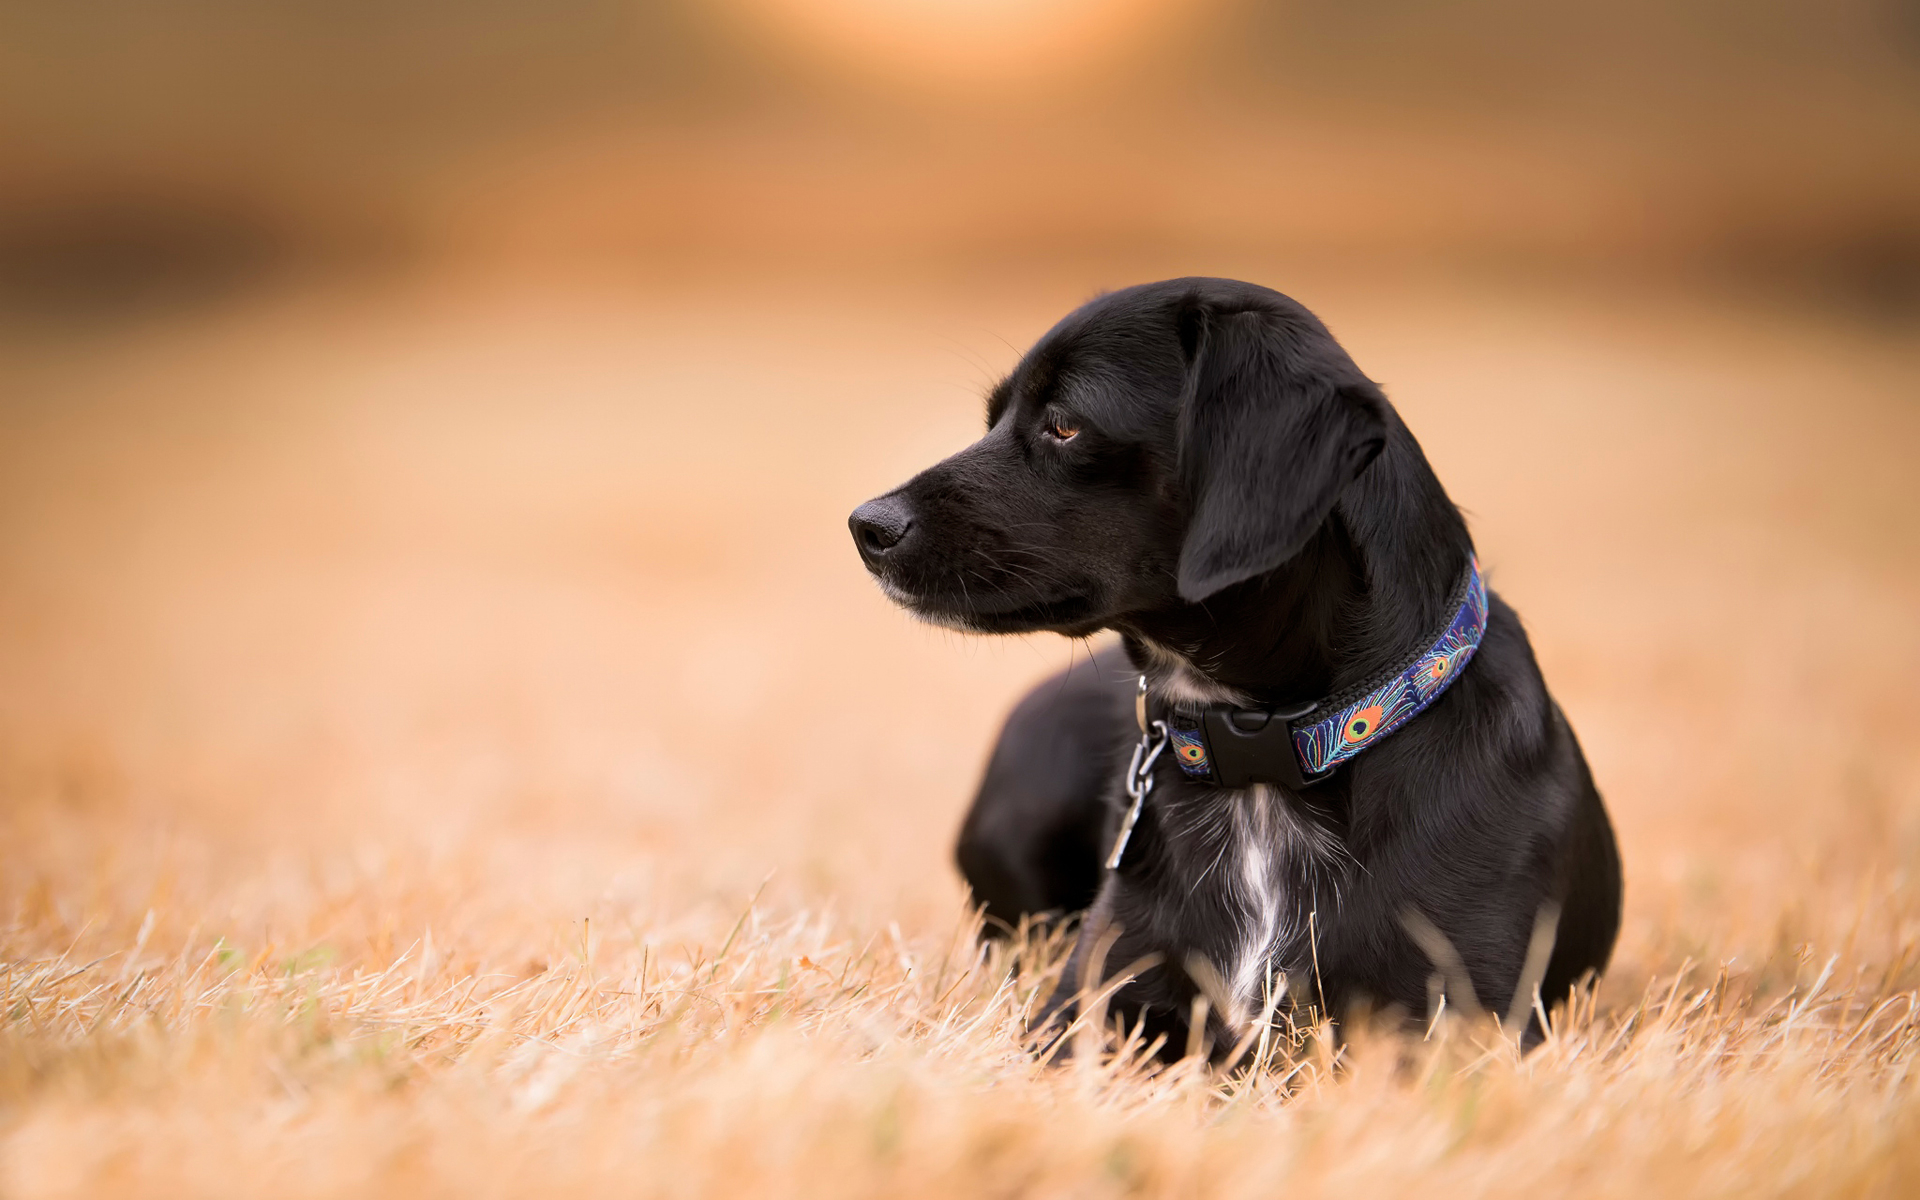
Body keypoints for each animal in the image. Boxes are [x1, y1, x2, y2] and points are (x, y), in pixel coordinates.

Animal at [848, 280, 1612, 1044]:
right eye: (994, 419)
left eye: (1063, 424)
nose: (866, 525)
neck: (1264, 752)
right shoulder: (1088, 1006)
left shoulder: (1459, 1024)